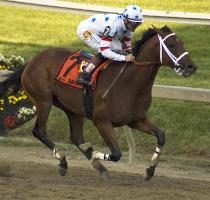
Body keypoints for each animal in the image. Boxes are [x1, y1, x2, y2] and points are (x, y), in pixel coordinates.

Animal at [0, 25, 197, 180]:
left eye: (182, 43)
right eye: (171, 45)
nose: (191, 67)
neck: (129, 83)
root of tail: (32, 61)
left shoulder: (135, 119)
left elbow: (161, 136)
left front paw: (149, 170)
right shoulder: (101, 121)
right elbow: (116, 153)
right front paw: (95, 155)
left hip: (74, 110)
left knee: (76, 137)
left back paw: (96, 166)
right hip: (43, 101)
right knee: (39, 131)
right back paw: (64, 162)